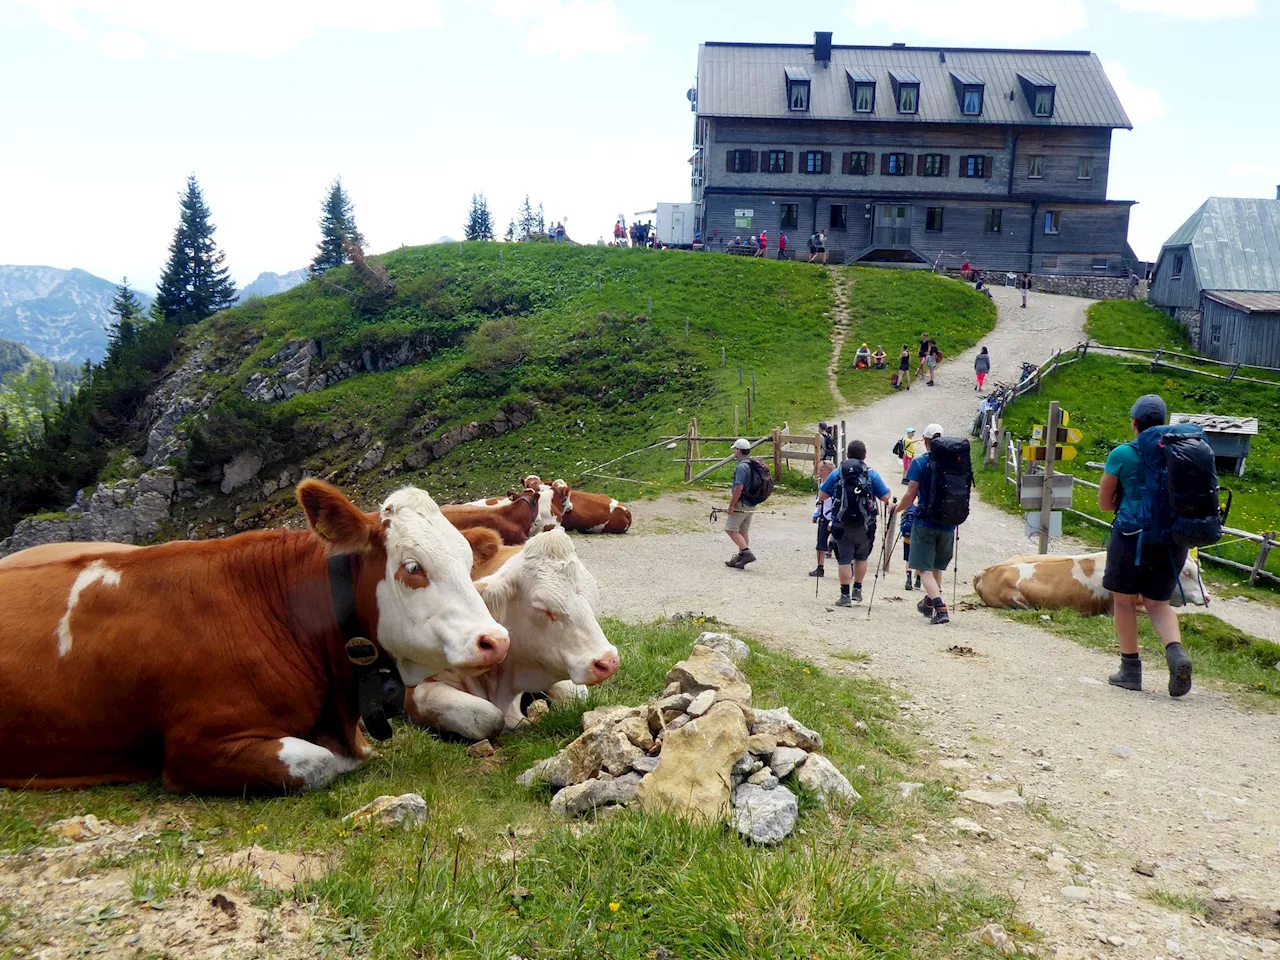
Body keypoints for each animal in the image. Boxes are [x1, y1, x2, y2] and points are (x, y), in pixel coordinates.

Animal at [401, 527, 616, 742]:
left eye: (592, 599)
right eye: (543, 609)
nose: (608, 662)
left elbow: (574, 695)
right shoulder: (415, 692)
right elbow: (488, 717)